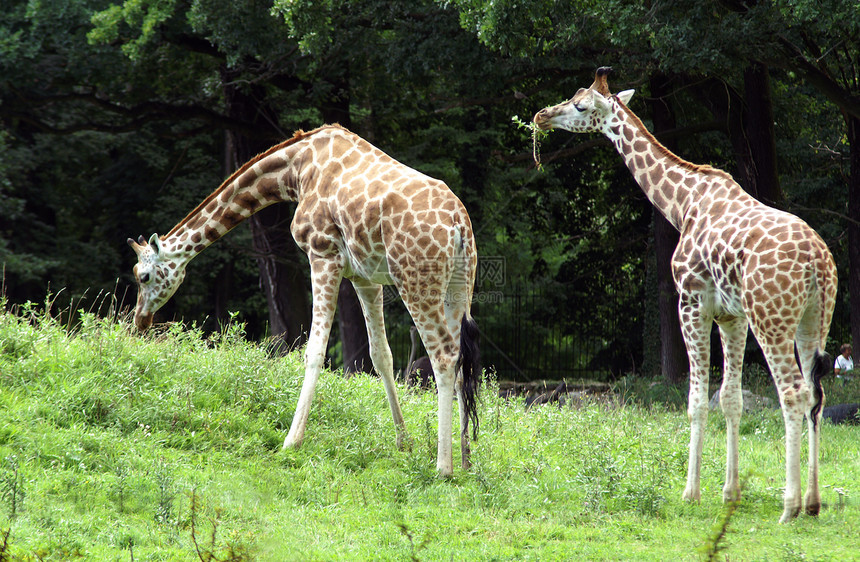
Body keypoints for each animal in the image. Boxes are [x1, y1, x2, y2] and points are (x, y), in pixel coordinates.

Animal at [127, 123, 480, 472]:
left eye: (143, 276)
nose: (140, 321)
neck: (296, 169)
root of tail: (459, 224)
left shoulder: (323, 253)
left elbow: (314, 350)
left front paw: (291, 441)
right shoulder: (364, 276)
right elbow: (381, 355)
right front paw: (403, 442)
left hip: (416, 281)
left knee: (444, 355)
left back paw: (443, 467)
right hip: (459, 285)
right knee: (461, 358)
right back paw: (465, 458)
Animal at [536, 69, 836, 520]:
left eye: (580, 105)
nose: (542, 116)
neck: (682, 204)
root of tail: (818, 261)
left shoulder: (692, 302)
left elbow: (695, 401)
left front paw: (690, 492)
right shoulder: (732, 316)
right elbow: (730, 399)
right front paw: (730, 493)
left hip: (772, 320)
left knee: (793, 394)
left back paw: (790, 506)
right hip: (812, 321)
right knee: (817, 395)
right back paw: (814, 502)